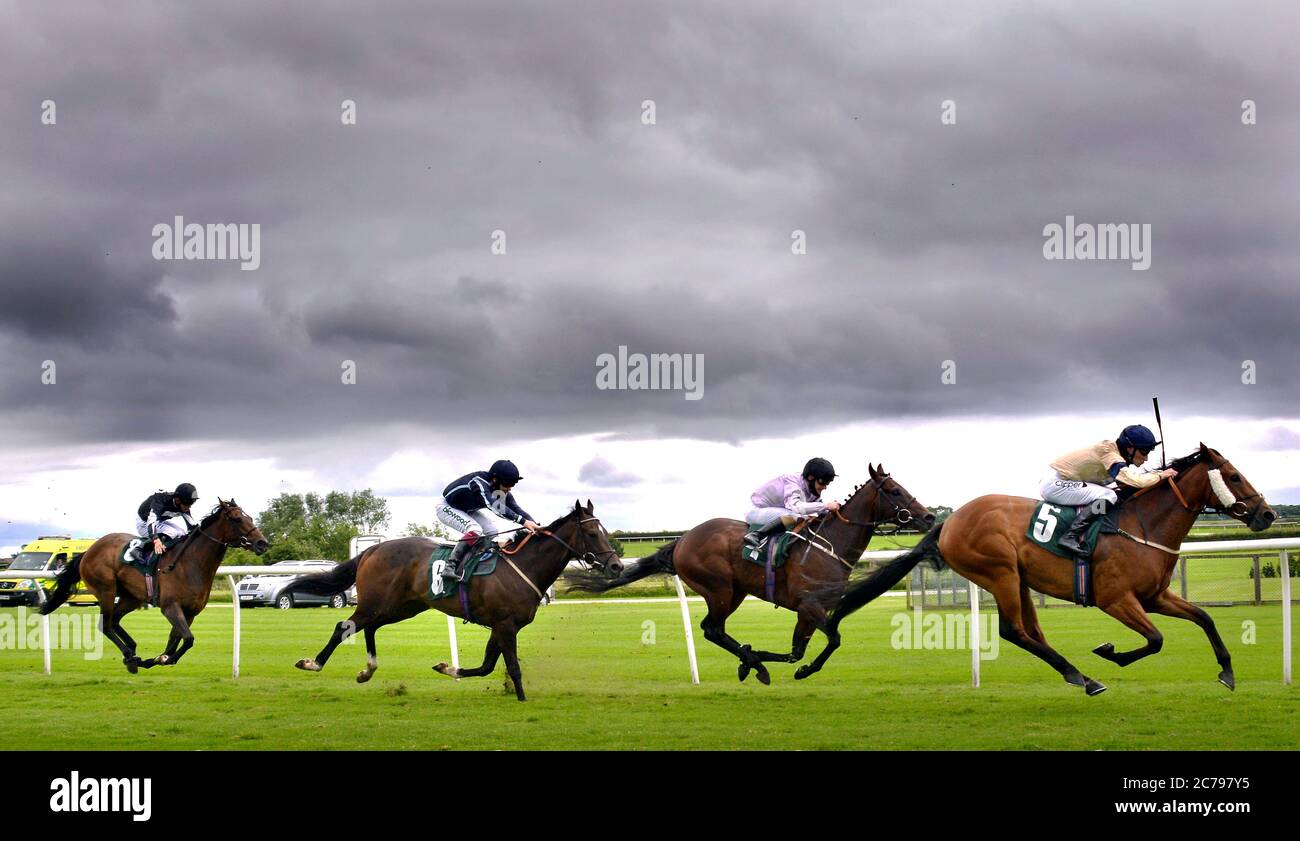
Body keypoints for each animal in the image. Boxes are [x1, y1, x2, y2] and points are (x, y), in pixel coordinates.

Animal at [40, 499, 269, 670]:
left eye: (249, 517)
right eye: (237, 519)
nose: (262, 543)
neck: (191, 563)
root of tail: (88, 551)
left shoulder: (190, 612)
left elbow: (175, 641)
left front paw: (158, 658)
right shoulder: (170, 607)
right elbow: (188, 639)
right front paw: (161, 659)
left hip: (131, 597)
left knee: (114, 620)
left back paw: (132, 651)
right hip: (106, 590)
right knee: (105, 624)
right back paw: (130, 656)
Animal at [288, 504, 618, 701]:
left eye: (604, 531)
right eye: (592, 533)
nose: (615, 566)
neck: (524, 565)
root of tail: (373, 549)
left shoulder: (500, 626)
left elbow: (486, 666)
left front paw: (447, 668)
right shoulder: (505, 625)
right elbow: (511, 666)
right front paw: (522, 698)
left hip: (401, 607)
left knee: (369, 628)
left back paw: (367, 671)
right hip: (378, 602)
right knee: (344, 625)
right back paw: (313, 663)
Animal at [569, 462, 935, 686]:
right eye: (895, 491)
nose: (930, 517)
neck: (830, 545)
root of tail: (682, 541)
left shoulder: (812, 611)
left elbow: (804, 649)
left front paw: (782, 663)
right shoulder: (810, 606)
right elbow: (828, 641)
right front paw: (789, 668)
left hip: (735, 592)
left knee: (714, 630)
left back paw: (750, 661)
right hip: (719, 590)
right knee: (711, 629)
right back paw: (754, 665)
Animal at [826, 444, 1274, 696]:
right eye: (1233, 476)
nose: (1267, 514)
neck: (1142, 526)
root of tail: (948, 522)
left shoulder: (1155, 596)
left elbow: (1204, 617)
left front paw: (1227, 672)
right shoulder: (1116, 600)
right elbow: (1156, 639)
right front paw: (1110, 652)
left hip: (1018, 579)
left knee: (1031, 633)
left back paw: (1080, 676)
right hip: (1000, 572)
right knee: (1014, 631)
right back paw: (1083, 676)